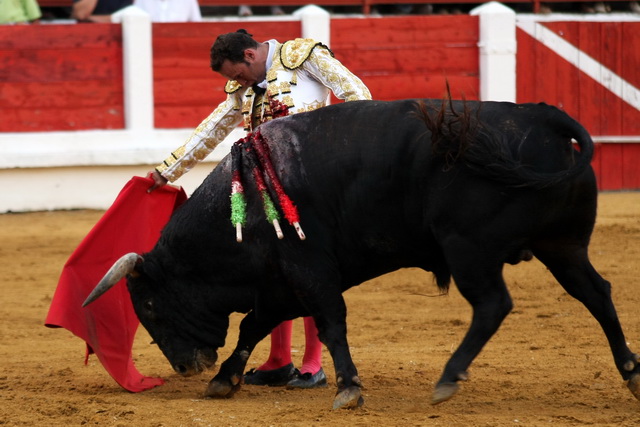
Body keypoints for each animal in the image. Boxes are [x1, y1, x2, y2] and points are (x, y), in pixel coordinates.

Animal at [84, 98, 640, 410]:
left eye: (149, 305)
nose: (185, 367)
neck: (242, 206)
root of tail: (542, 117)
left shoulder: (309, 271)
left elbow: (331, 323)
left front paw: (348, 388)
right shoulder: (280, 283)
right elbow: (253, 327)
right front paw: (225, 380)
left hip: (469, 248)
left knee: (493, 305)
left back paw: (447, 378)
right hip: (563, 246)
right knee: (597, 294)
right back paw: (631, 374)